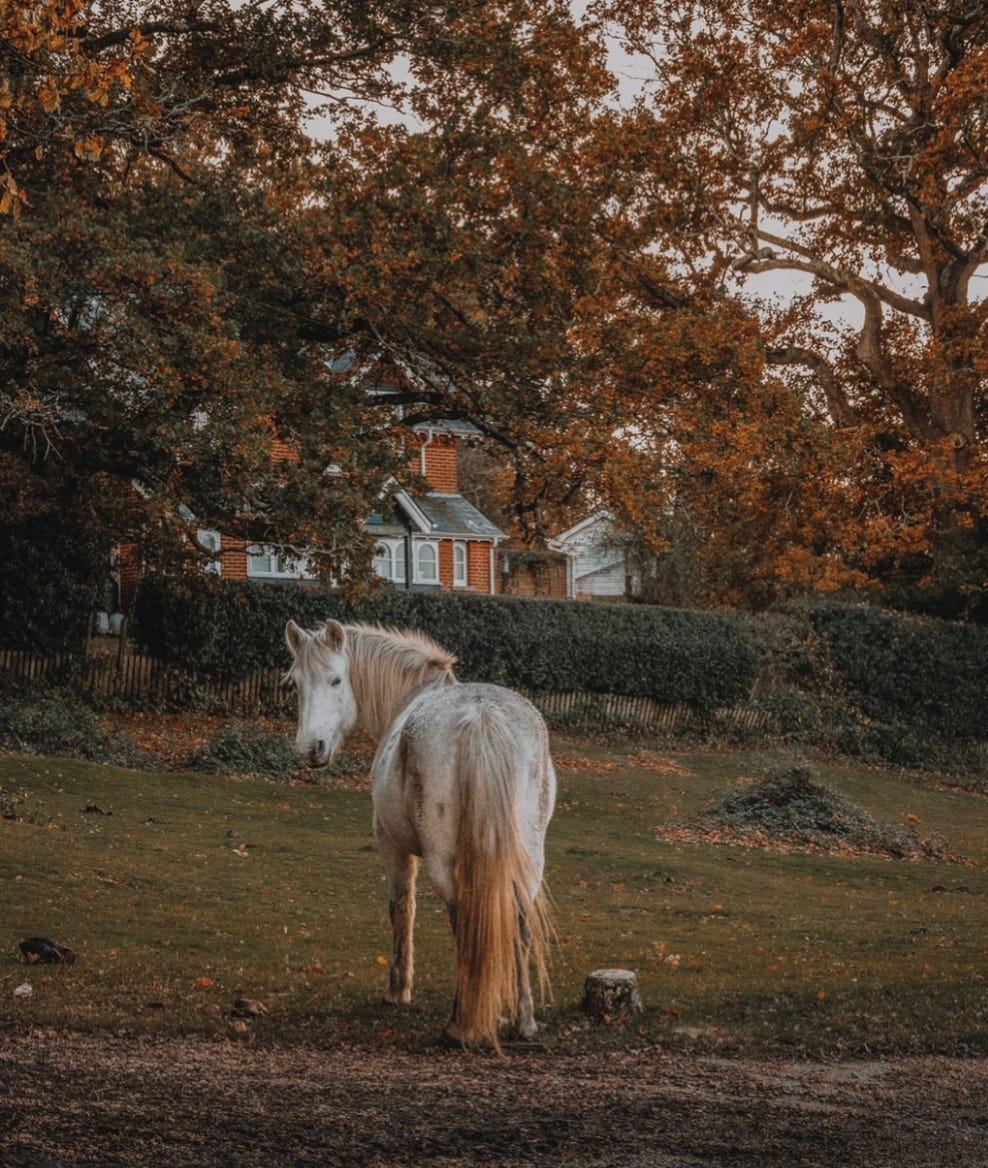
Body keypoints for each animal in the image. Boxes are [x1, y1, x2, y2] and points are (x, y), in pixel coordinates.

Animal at [284, 618, 556, 1050]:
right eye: (294, 684)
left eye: (336, 680)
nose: (312, 748)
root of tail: (482, 715)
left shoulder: (391, 844)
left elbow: (401, 908)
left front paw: (398, 989)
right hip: (528, 859)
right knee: (520, 923)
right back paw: (522, 1020)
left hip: (443, 861)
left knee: (464, 920)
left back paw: (460, 1025)